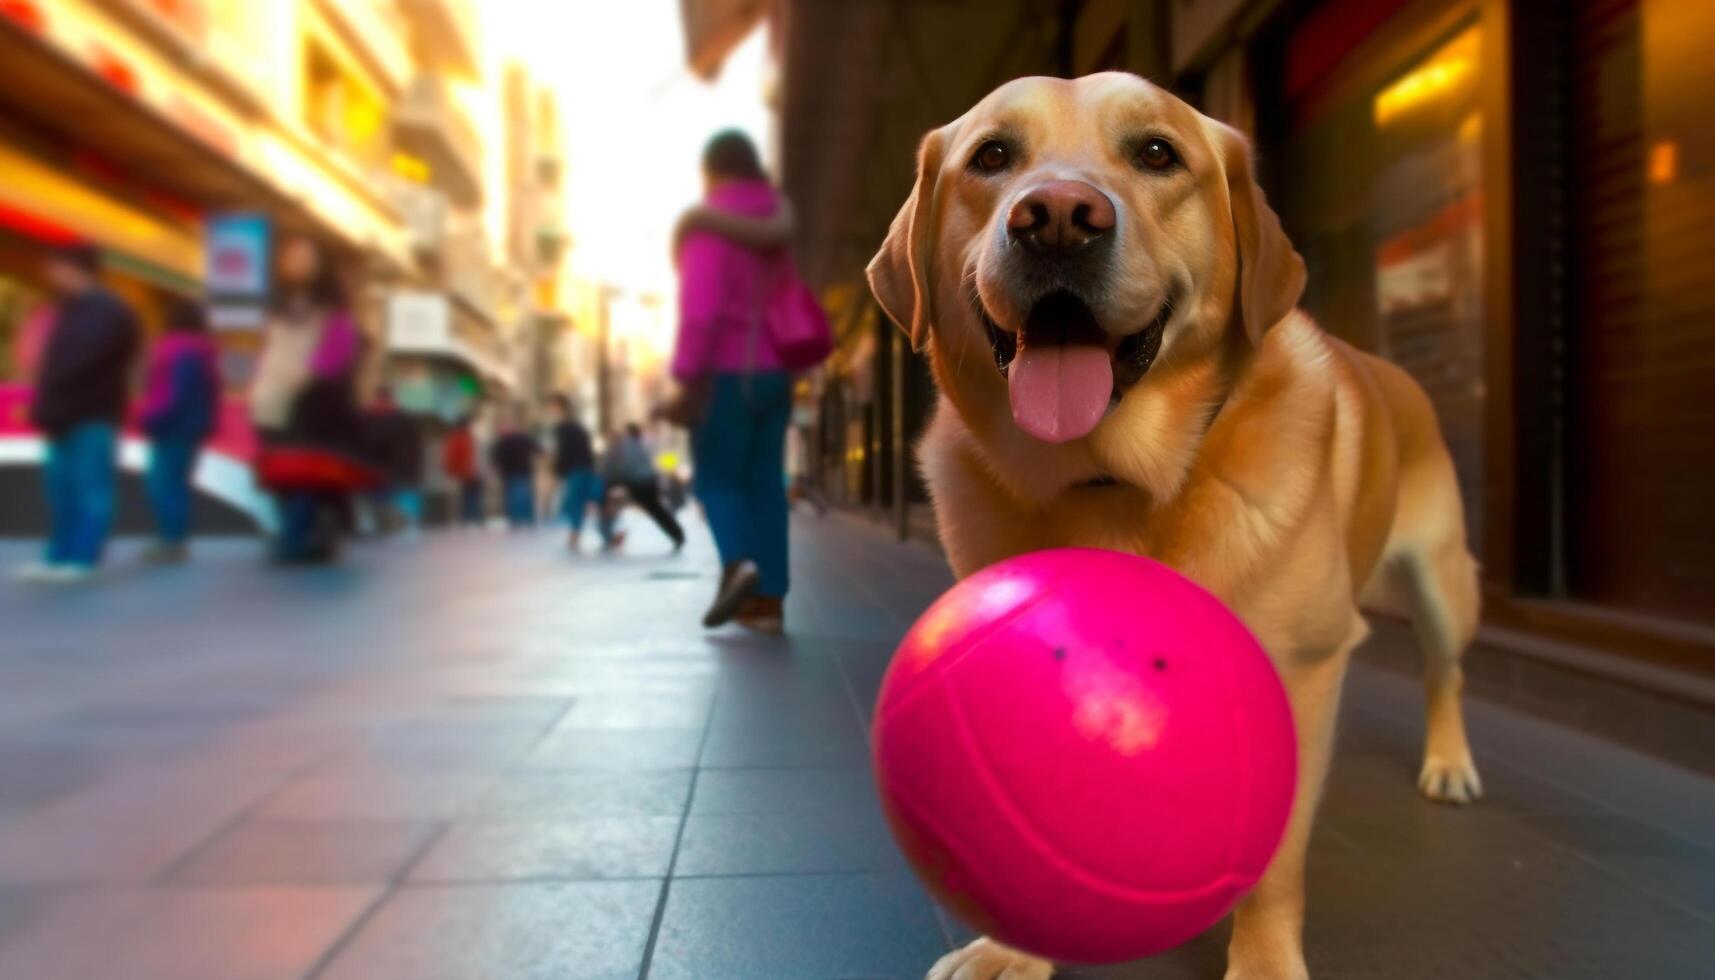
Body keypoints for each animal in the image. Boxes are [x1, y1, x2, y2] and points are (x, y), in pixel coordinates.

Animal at [864, 72, 1481, 974]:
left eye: (1157, 153)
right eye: (992, 156)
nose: (1055, 217)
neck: (1108, 480)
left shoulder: (1297, 672)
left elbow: (1274, 860)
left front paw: (1263, 962)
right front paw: (1011, 950)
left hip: (1438, 583)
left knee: (1444, 674)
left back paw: (1449, 764)